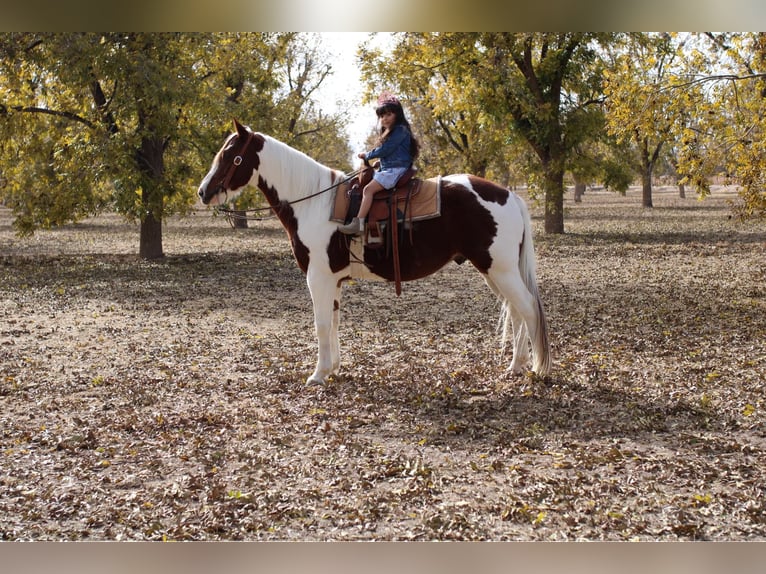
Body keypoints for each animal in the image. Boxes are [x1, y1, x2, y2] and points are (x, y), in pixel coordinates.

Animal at [197, 119, 551, 385]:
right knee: (516, 312)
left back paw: (536, 368)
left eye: (231, 155)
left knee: (528, 309)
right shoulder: (334, 281)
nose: (203, 192)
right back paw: (515, 366)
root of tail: (508, 195)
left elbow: (321, 324)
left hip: (500, 271)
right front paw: (333, 368)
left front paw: (317, 375)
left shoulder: (318, 278)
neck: (315, 202)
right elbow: (334, 322)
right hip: (495, 273)